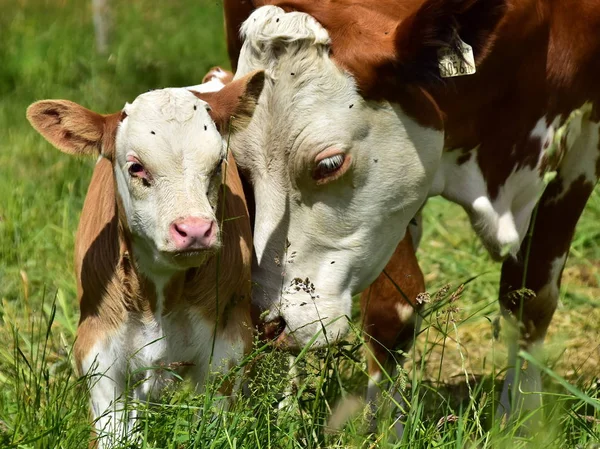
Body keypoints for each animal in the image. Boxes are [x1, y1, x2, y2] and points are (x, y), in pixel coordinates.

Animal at [220, 0, 600, 430]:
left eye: (329, 163)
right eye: (242, 168)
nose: (268, 322)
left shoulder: (584, 138)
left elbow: (530, 298)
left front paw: (521, 420)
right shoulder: (388, 211)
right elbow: (393, 312)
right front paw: (382, 426)